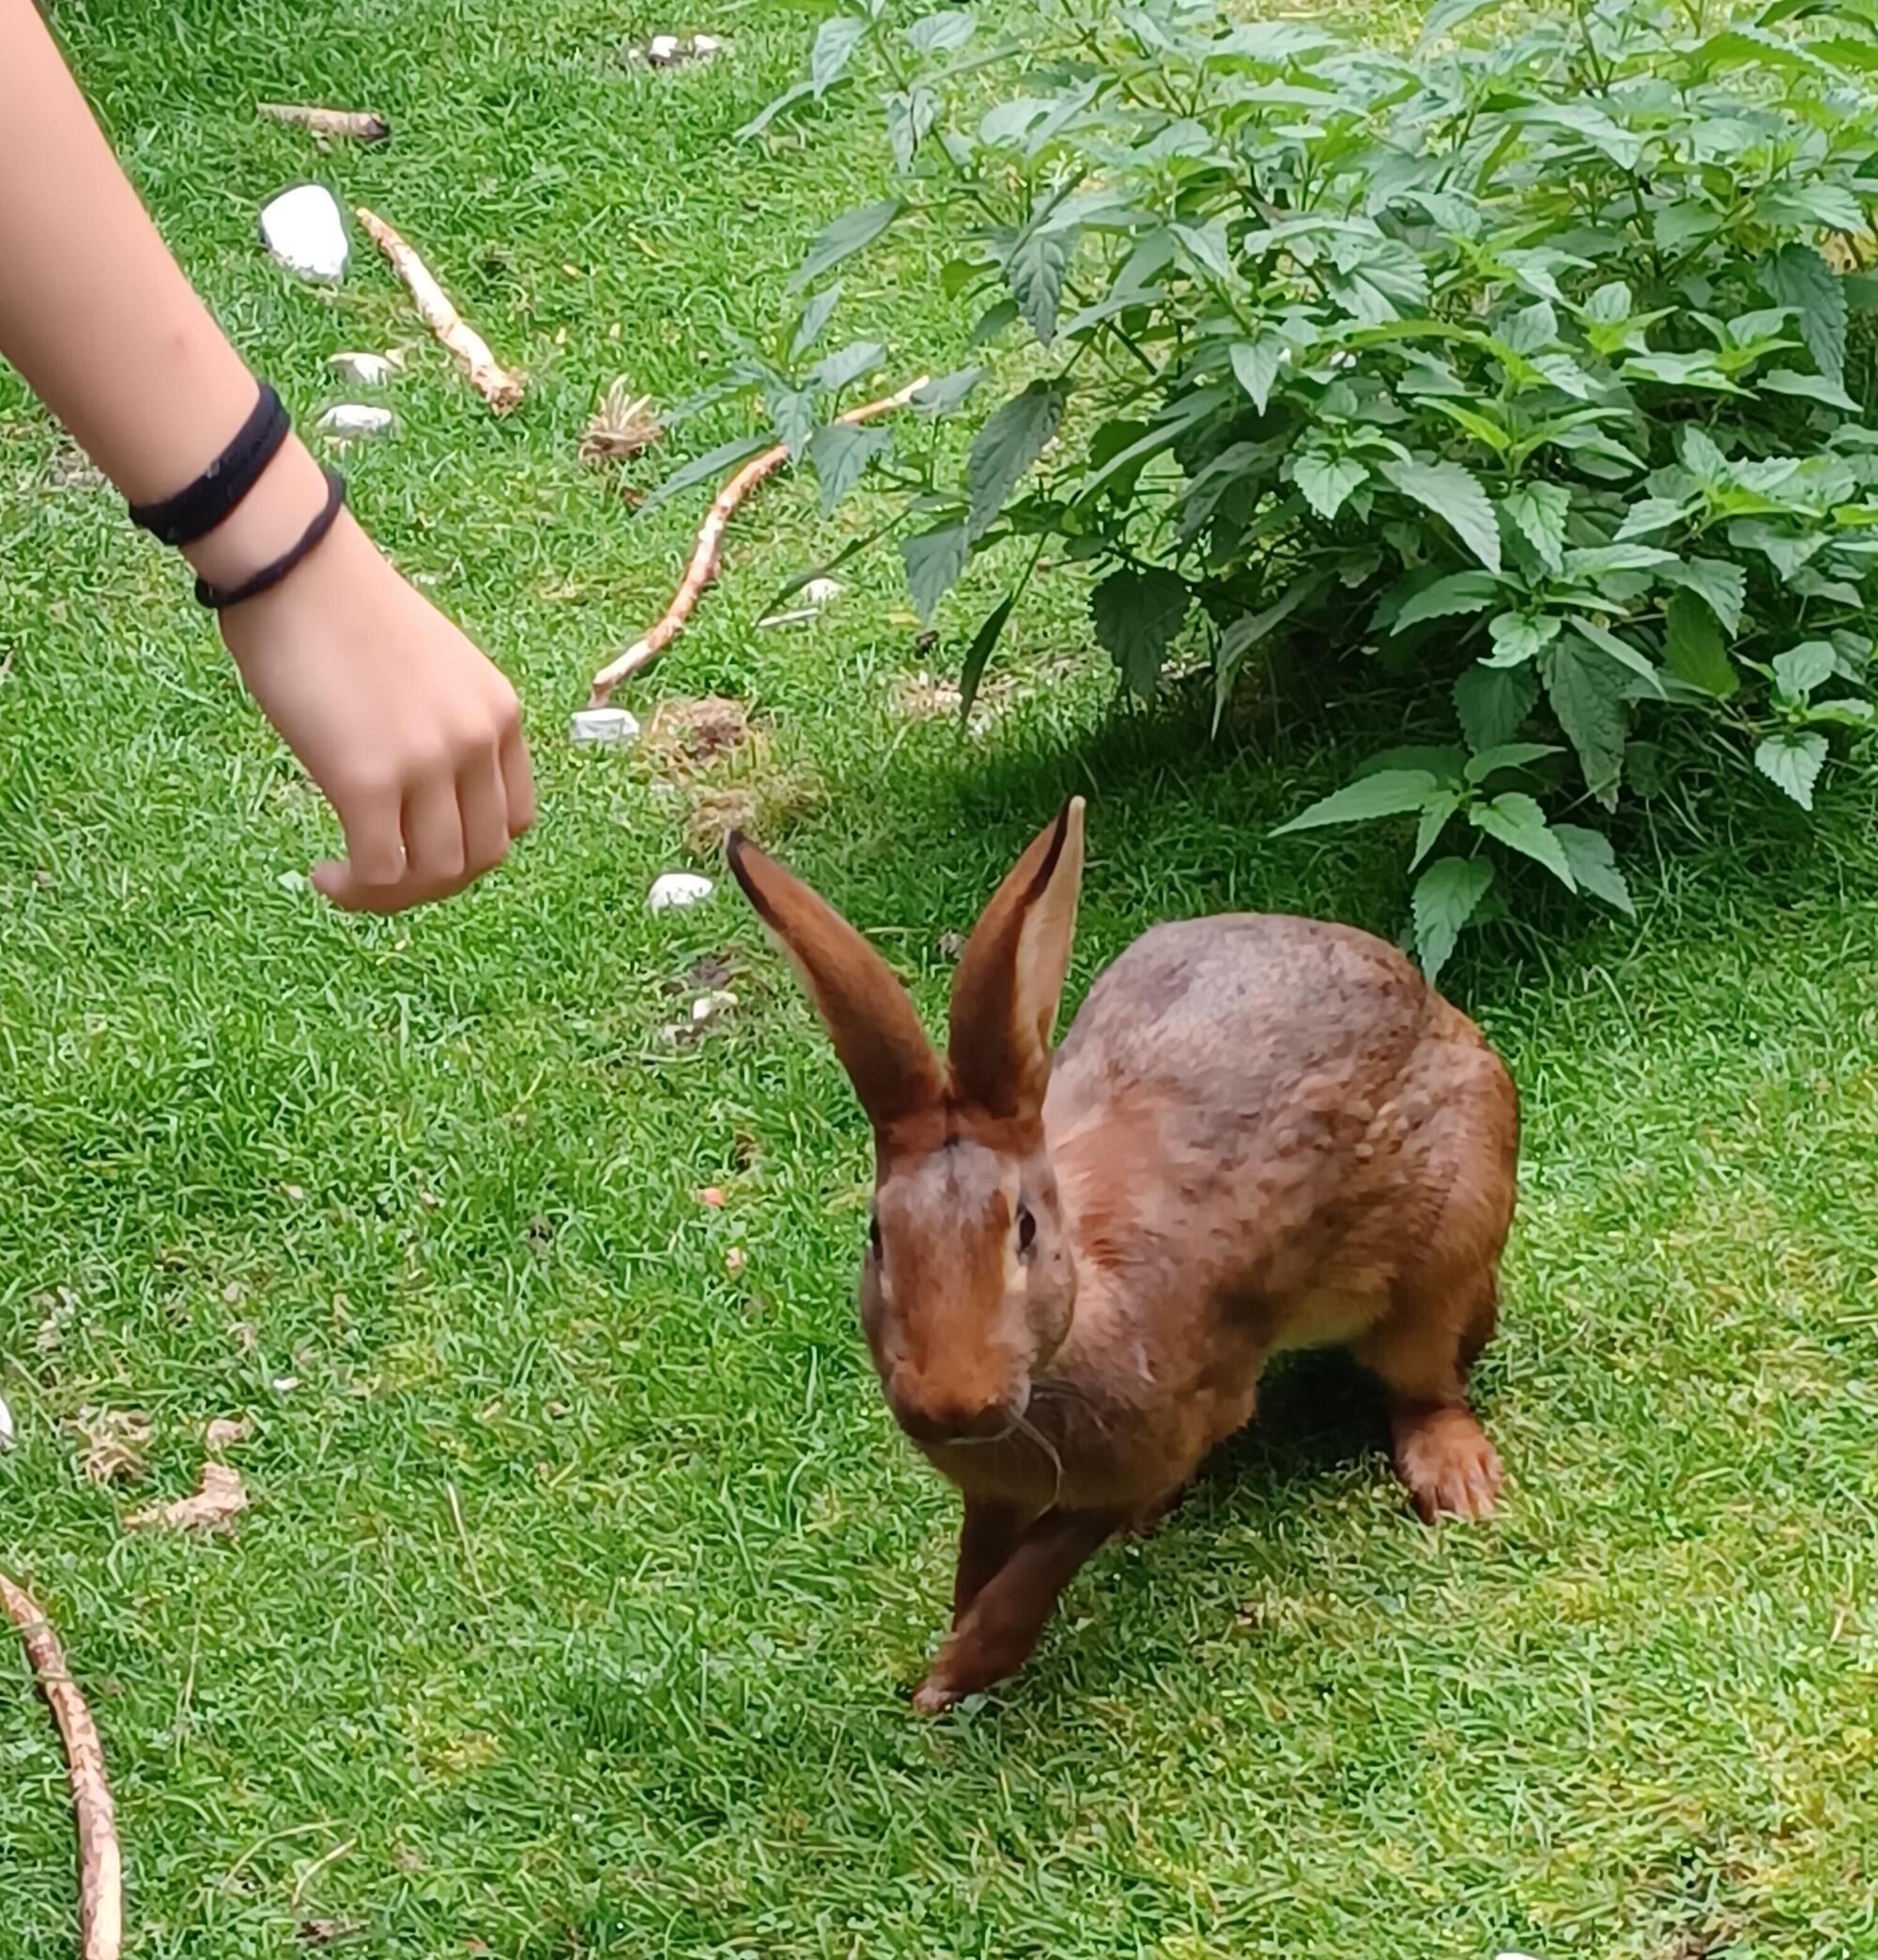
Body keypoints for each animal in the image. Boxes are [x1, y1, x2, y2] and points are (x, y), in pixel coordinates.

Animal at [729, 795, 1521, 1717]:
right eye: (877, 1235)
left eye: (1025, 1228)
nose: (951, 1404)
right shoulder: (993, 1492)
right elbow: (981, 1558)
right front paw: (951, 1659)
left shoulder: (1168, 1428)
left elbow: (1048, 1557)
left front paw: (959, 1668)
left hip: (1444, 1250)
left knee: (1425, 1381)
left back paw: (1460, 1484)